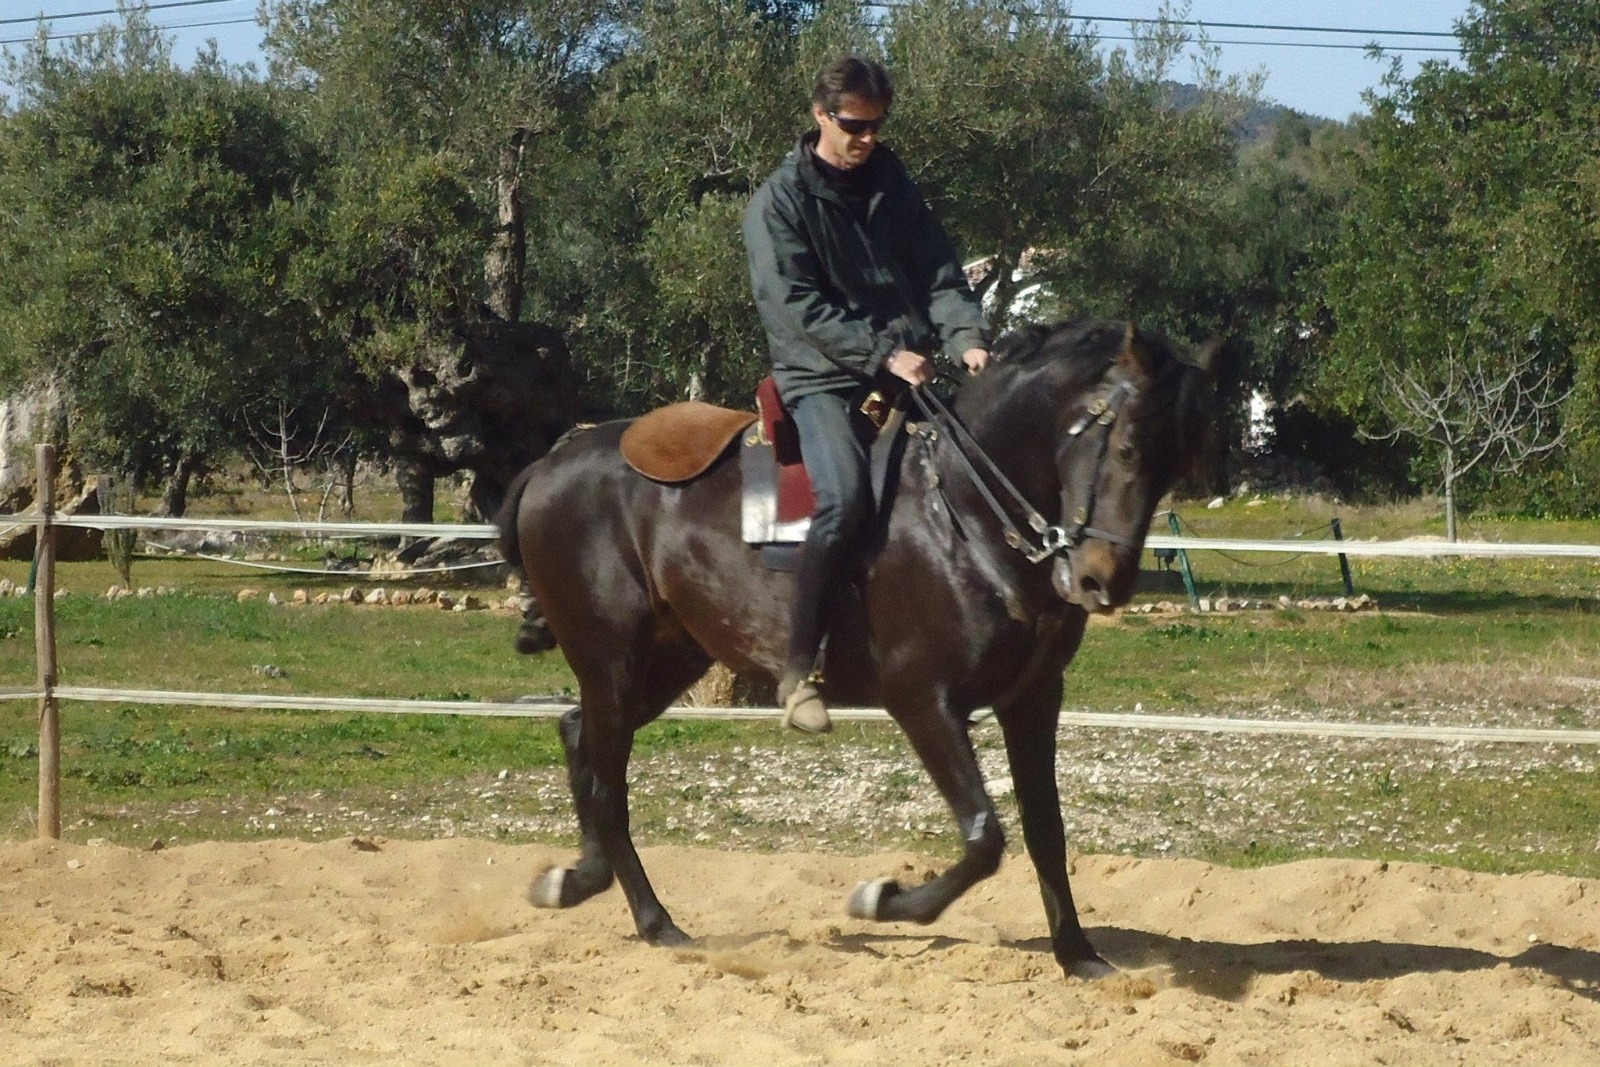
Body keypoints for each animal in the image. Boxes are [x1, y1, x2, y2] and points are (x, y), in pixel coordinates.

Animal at [495, 317, 1213, 979]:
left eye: (1175, 464)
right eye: (1126, 448)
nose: (1101, 581)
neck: (960, 514)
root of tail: (553, 462)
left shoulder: (1034, 700)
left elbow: (1045, 828)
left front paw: (1079, 956)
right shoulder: (923, 701)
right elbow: (985, 837)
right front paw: (882, 898)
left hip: (671, 658)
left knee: (579, 734)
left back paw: (587, 882)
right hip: (611, 660)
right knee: (609, 780)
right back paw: (647, 915)